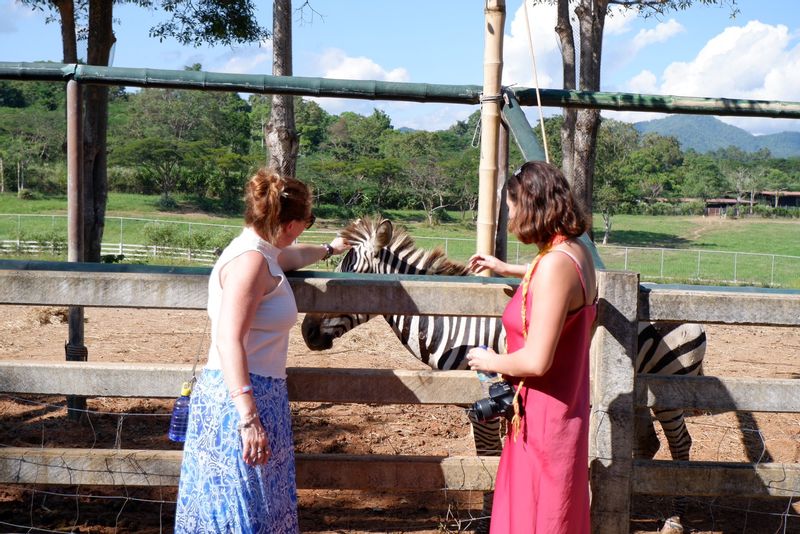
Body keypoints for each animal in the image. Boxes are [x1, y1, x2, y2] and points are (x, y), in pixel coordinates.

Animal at [300, 218, 708, 534]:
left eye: (346, 278)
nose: (306, 332)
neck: (450, 317)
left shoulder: (478, 392)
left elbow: (487, 456)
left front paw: (484, 518)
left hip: (669, 386)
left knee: (681, 444)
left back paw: (674, 520)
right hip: (643, 390)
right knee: (648, 445)